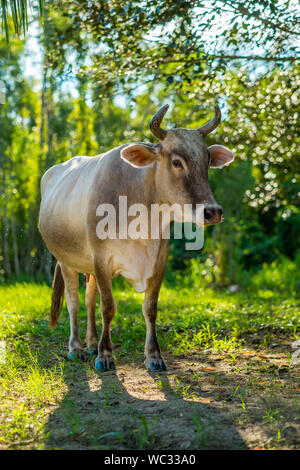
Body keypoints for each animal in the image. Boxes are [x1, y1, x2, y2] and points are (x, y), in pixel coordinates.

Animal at [38, 103, 234, 370]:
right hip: (65, 260)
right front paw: (106, 355)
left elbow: (150, 308)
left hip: (88, 267)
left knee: (89, 299)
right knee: (74, 301)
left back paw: (91, 344)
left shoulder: (159, 258)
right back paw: (76, 348)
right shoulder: (101, 257)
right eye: (176, 162)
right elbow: (108, 307)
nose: (212, 212)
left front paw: (154, 355)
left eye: (208, 160)